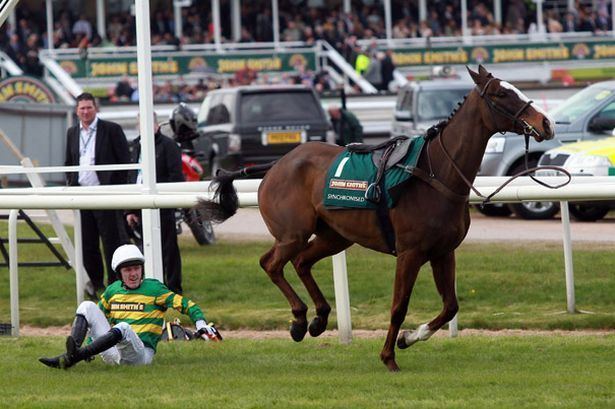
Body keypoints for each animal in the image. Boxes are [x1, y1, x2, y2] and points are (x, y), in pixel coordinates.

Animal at [195, 66, 556, 370]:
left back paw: (318, 318)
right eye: (501, 94)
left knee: (301, 262)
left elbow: (450, 306)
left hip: (335, 236)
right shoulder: (410, 253)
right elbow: (399, 306)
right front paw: (388, 356)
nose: (545, 124)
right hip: (292, 233)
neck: (436, 174)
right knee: (271, 263)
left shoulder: (443, 251)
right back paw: (299, 320)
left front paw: (409, 337)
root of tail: (275, 165)